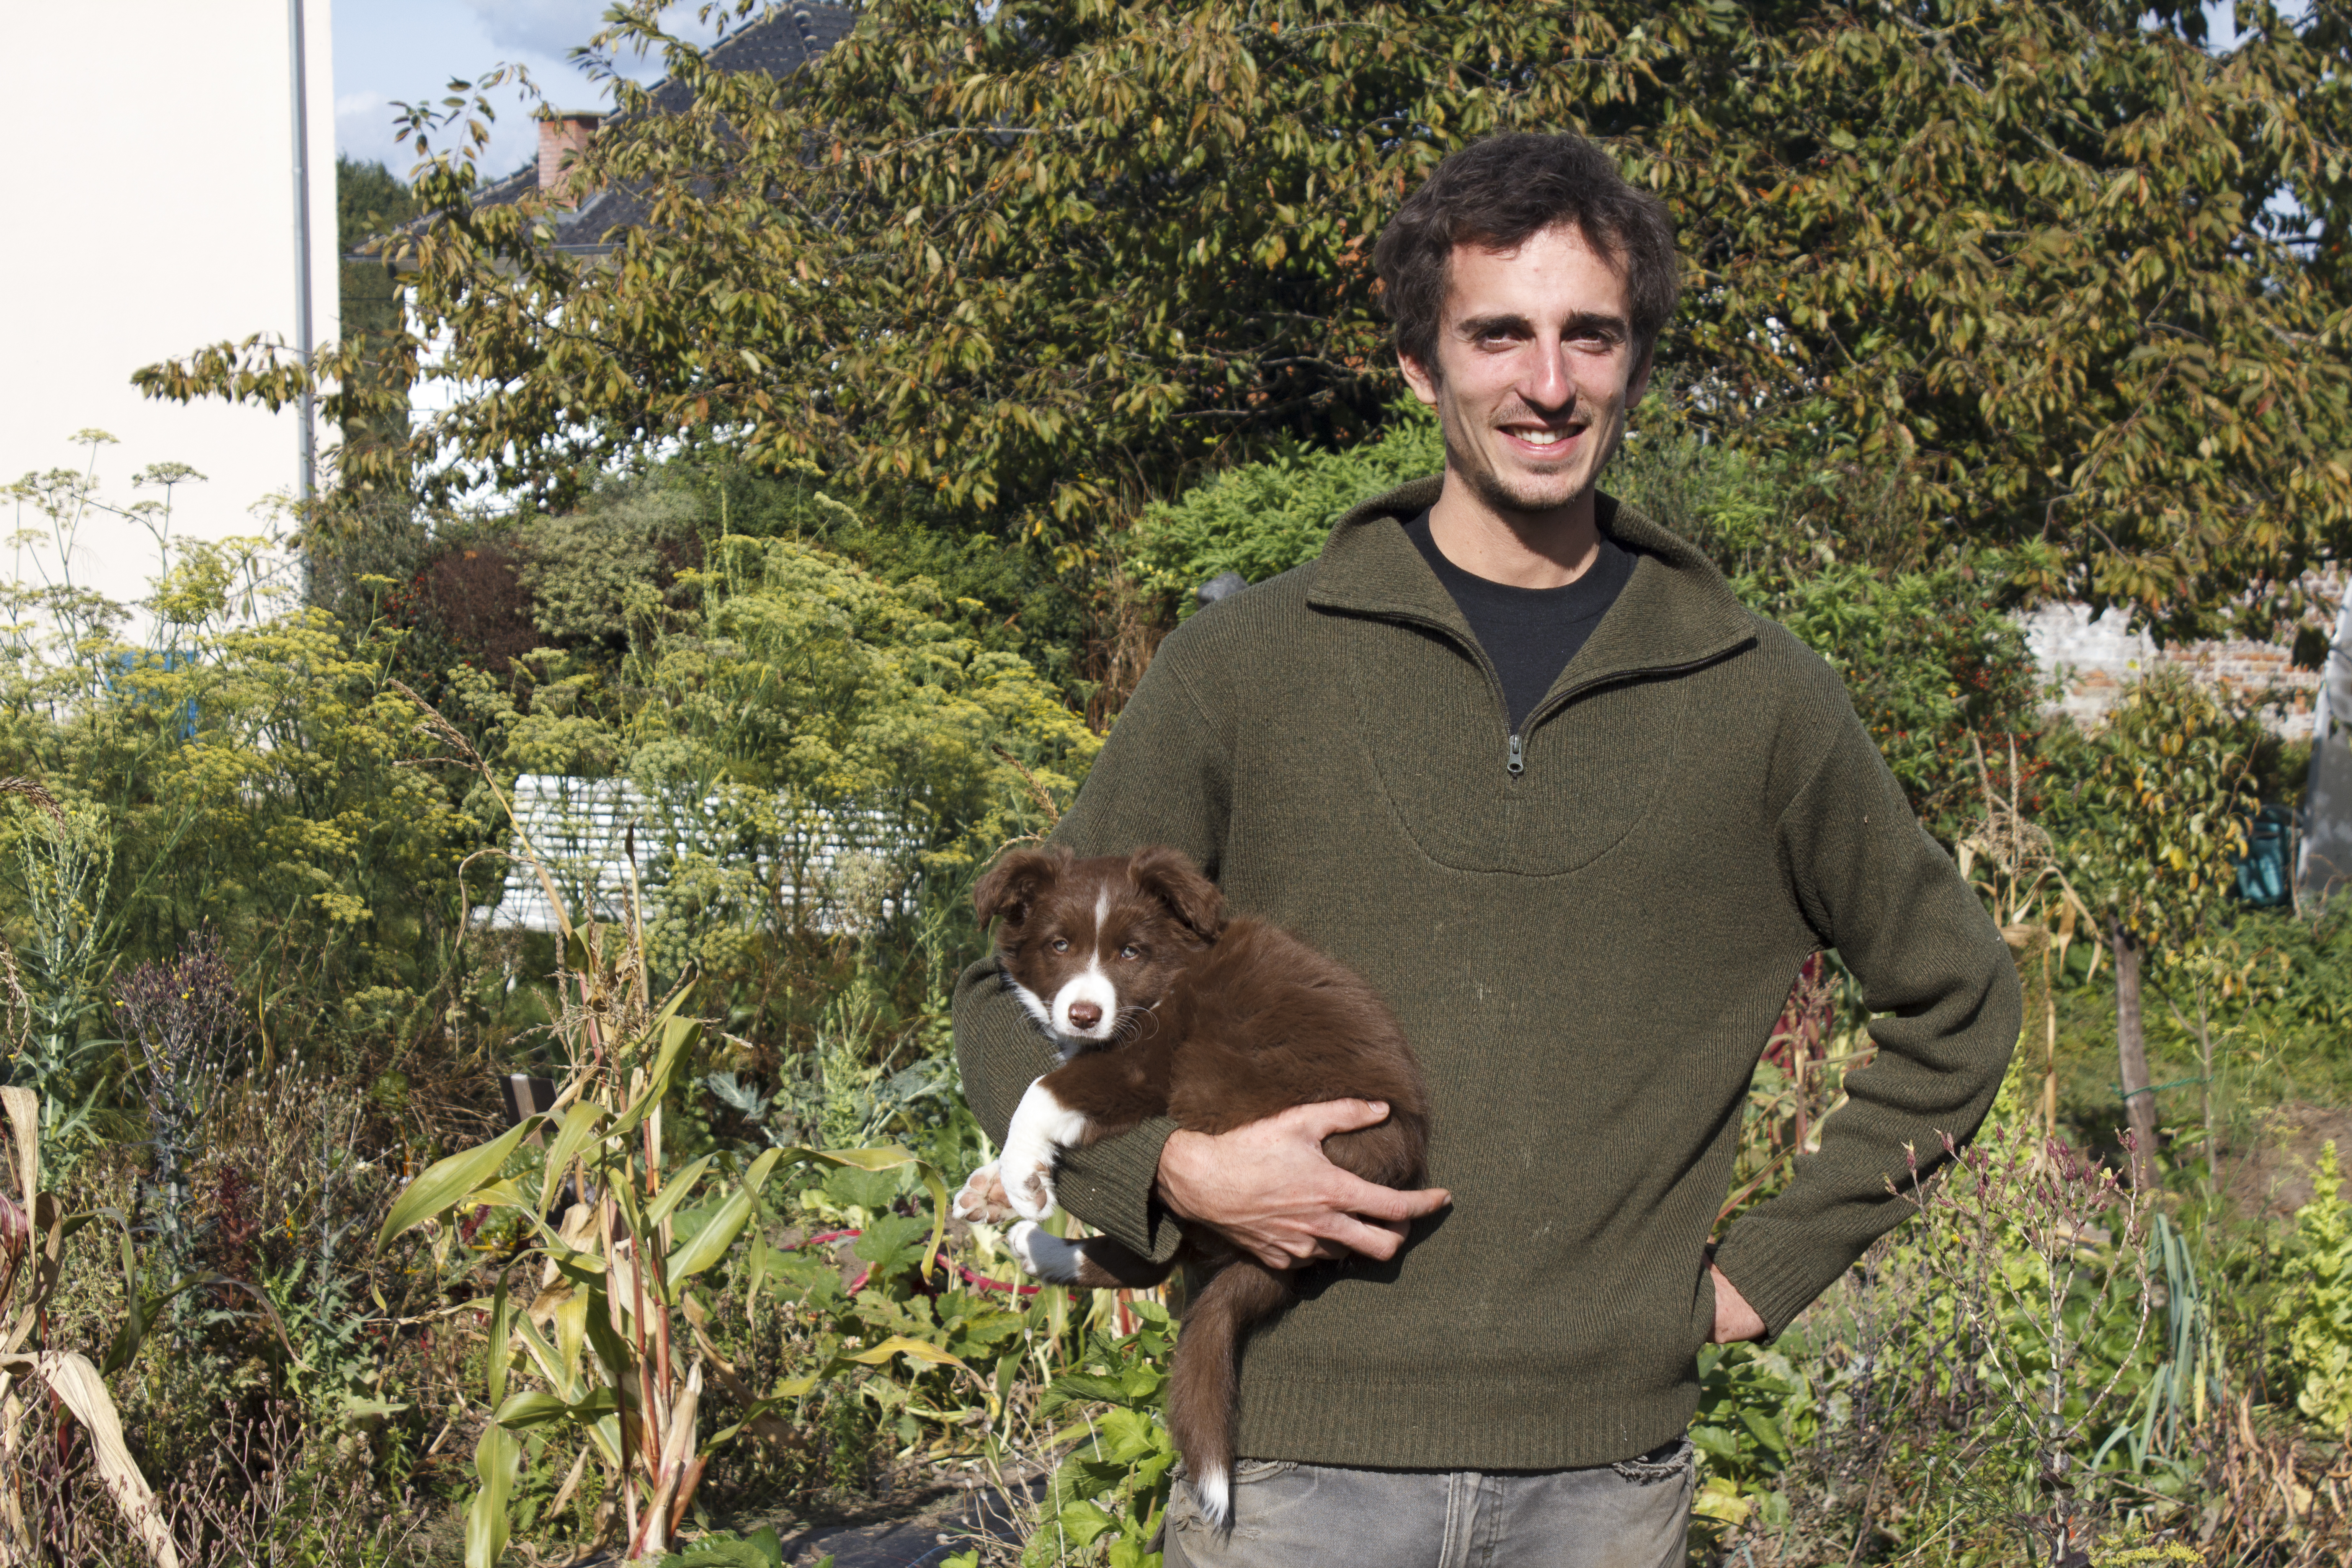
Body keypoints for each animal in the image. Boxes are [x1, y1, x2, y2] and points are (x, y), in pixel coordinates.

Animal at [955, 846, 1430, 1532]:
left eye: (1131, 952)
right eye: (1059, 944)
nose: (1083, 1015)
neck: (1166, 979)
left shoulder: (1141, 1064)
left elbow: (1044, 1090)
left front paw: (1019, 1171)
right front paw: (1000, 1182)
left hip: (1217, 1083)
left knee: (1167, 1250)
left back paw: (1034, 1239)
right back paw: (1026, 1239)